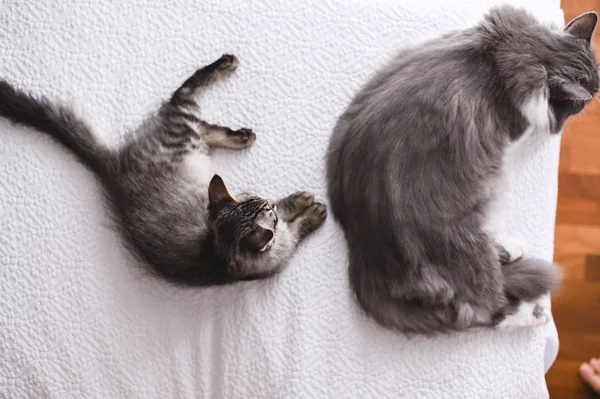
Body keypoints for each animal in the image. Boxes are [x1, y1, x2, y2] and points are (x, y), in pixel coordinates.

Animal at [1, 54, 328, 286]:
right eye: (268, 212)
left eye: (255, 196)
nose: (269, 201)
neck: (218, 249)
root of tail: (113, 168)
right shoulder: (284, 246)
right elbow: (295, 225)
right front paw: (309, 208)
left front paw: (295, 200)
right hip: (183, 127)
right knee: (184, 93)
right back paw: (225, 66)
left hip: (193, 139)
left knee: (204, 125)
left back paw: (241, 135)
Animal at [328, 7, 600, 336]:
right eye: (580, 103)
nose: (595, 93)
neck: (513, 51)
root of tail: (364, 257)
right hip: (465, 241)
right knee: (484, 309)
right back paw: (535, 312)